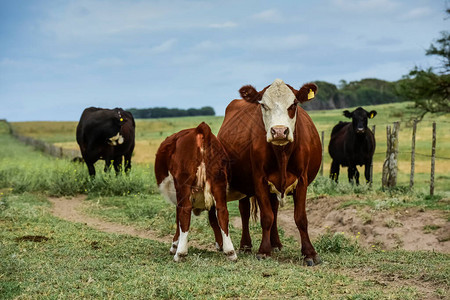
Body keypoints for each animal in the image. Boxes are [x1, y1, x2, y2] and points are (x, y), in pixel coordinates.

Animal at [155, 121, 237, 260]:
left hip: (183, 185)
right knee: (222, 211)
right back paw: (230, 251)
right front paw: (220, 245)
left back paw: (180, 253)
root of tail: (200, 129)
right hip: (218, 182)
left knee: (185, 211)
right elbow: (213, 220)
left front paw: (174, 246)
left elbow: (178, 218)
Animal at [217, 79, 320, 264]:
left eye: (294, 104)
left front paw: (309, 252)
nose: (279, 131)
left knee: (275, 209)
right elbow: (266, 217)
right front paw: (263, 251)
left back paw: (276, 243)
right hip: (243, 184)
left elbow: (300, 218)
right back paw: (246, 245)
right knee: (245, 211)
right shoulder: (259, 180)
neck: (282, 153)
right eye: (263, 105)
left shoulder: (302, 181)